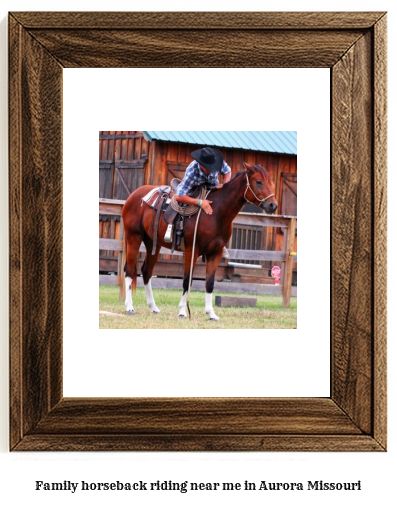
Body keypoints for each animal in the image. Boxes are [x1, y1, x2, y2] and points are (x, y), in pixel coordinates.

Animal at [122, 163, 276, 322]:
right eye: (258, 181)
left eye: (271, 182)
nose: (273, 205)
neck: (216, 213)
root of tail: (135, 195)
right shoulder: (192, 250)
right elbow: (187, 280)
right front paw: (182, 311)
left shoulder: (215, 253)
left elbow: (209, 283)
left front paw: (211, 313)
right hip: (133, 237)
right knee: (129, 271)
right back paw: (129, 307)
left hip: (153, 243)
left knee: (146, 272)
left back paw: (153, 307)